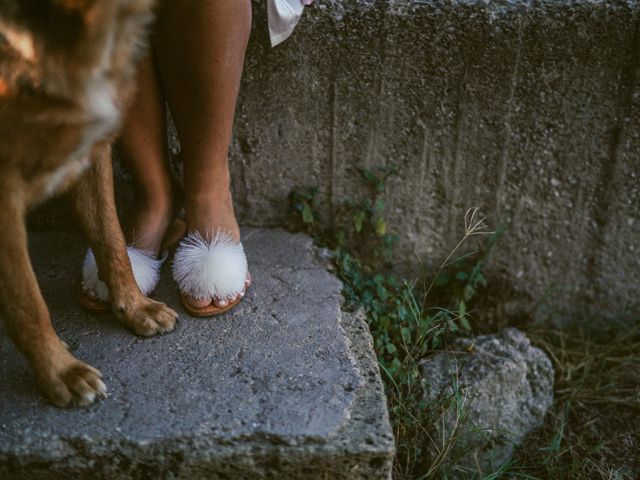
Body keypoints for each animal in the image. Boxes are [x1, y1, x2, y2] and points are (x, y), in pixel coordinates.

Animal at [0, 0, 176, 406]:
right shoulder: (4, 190)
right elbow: (26, 298)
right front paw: (60, 371)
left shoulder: (92, 149)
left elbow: (111, 239)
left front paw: (135, 307)